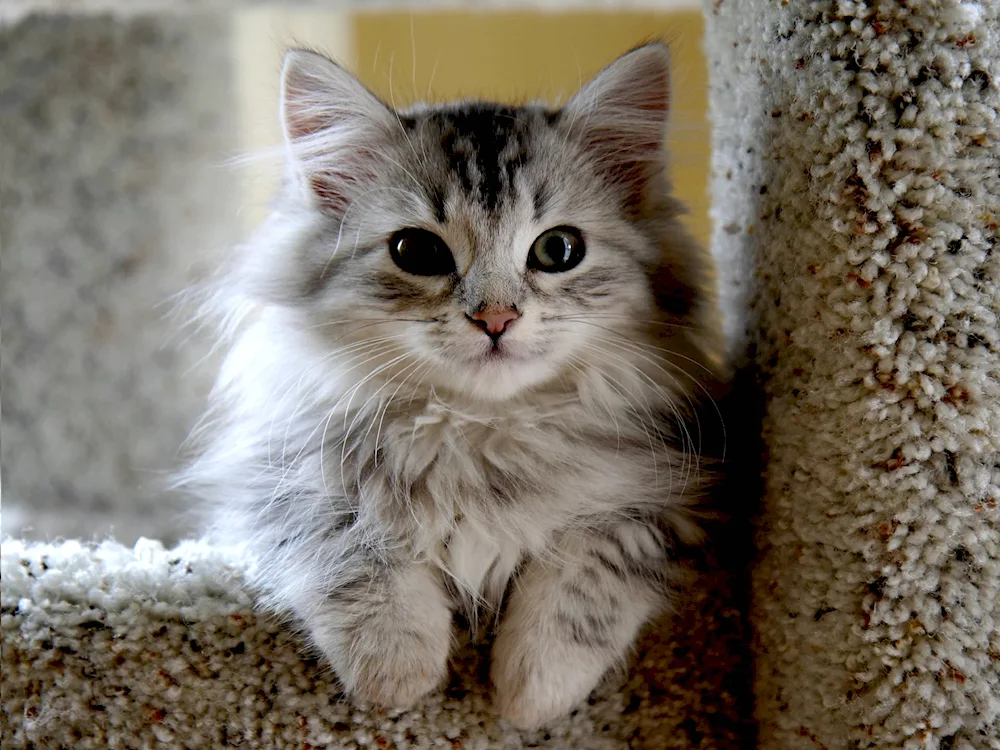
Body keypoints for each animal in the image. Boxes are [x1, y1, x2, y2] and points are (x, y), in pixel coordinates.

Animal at [182, 44, 720, 732]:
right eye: (417, 251)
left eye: (559, 249)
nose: (495, 318)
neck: (479, 431)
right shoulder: (274, 486)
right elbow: (349, 545)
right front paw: (396, 670)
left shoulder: (673, 501)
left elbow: (589, 573)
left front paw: (531, 694)